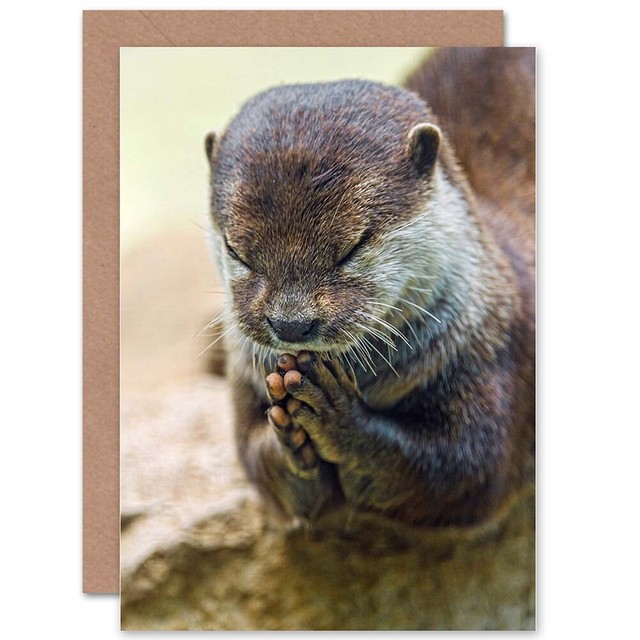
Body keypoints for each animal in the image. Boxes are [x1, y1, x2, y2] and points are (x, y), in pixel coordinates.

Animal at [204, 48, 535, 527]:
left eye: (352, 247)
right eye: (237, 250)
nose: (291, 324)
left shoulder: (493, 354)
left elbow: (465, 470)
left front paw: (338, 416)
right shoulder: (245, 379)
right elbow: (258, 462)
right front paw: (291, 443)